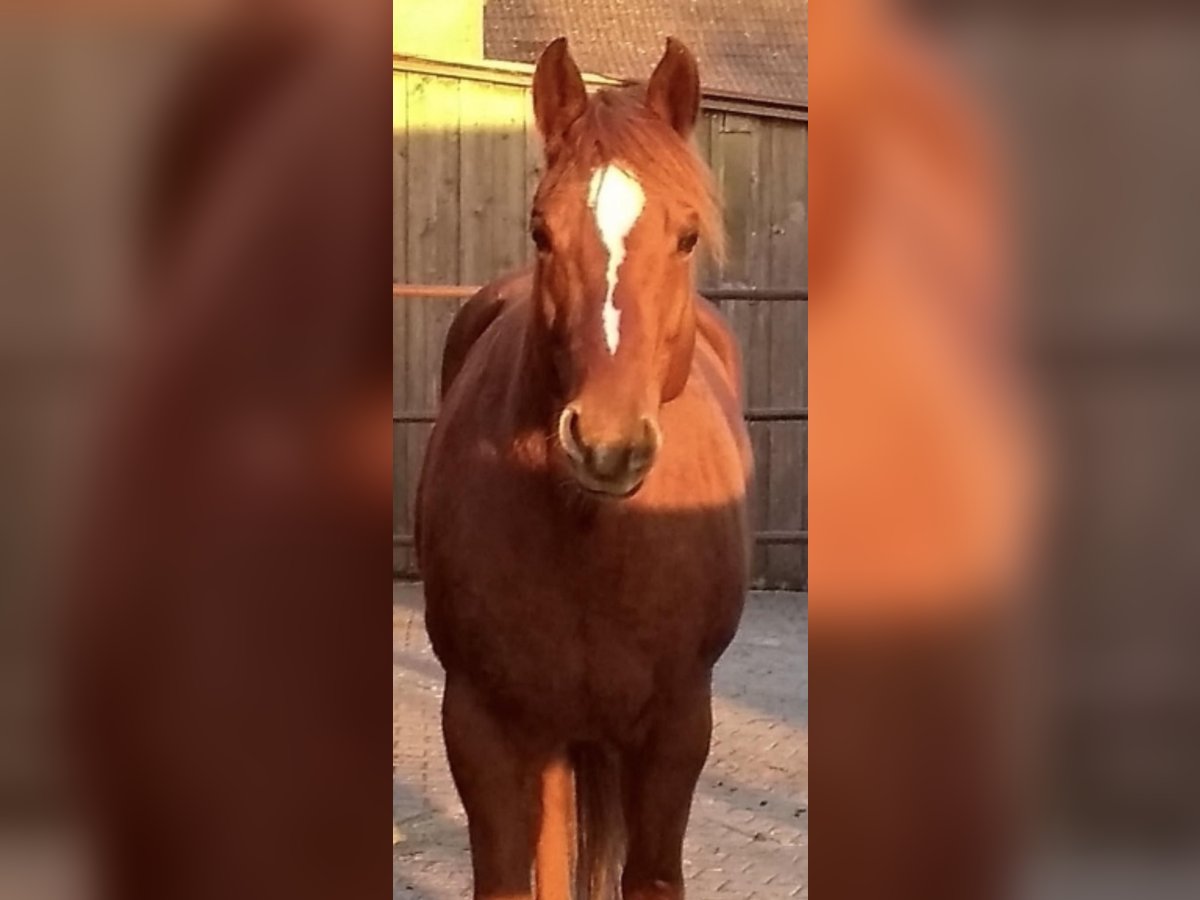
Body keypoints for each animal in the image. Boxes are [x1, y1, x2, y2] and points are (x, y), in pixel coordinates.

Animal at [412, 38, 748, 900]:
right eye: (541, 231)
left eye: (687, 236)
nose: (606, 443)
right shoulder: (485, 726)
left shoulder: (675, 730)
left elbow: (652, 878)